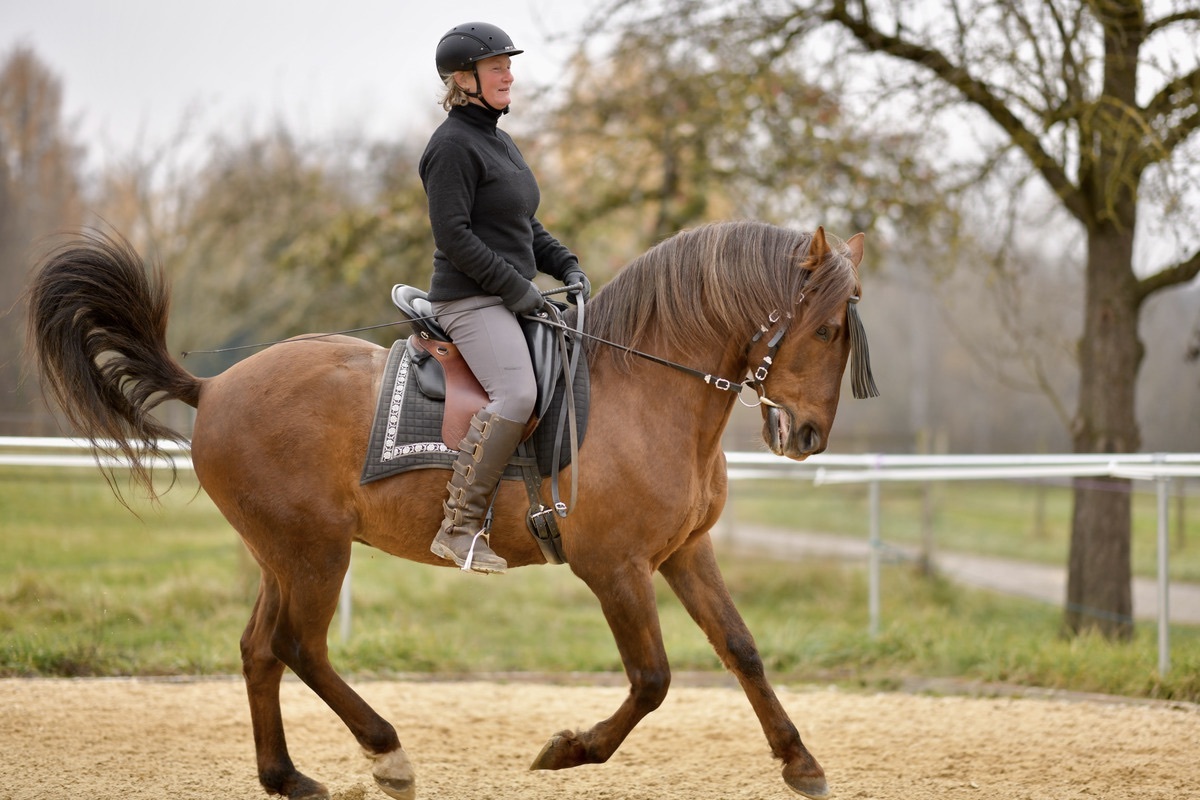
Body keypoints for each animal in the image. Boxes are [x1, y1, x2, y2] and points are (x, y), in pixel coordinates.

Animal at [25, 220, 873, 800]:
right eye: (828, 328)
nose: (807, 436)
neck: (642, 390)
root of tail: (214, 387)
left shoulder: (685, 552)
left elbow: (742, 650)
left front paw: (801, 762)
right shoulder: (616, 568)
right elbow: (653, 679)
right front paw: (567, 749)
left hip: (281, 555)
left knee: (260, 648)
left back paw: (286, 776)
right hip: (314, 552)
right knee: (300, 646)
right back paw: (387, 753)